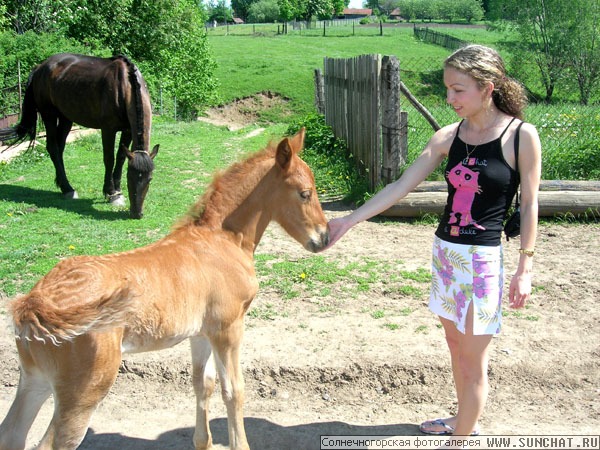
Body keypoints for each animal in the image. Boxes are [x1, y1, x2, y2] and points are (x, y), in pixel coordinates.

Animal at [0, 52, 159, 218]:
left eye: (150, 179)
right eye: (129, 178)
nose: (136, 213)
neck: (124, 85)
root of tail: (39, 67)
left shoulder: (127, 130)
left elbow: (121, 158)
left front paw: (117, 191)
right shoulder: (108, 129)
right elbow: (109, 159)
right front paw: (110, 193)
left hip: (65, 117)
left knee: (59, 148)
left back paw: (61, 184)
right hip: (49, 114)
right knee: (53, 147)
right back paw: (68, 189)